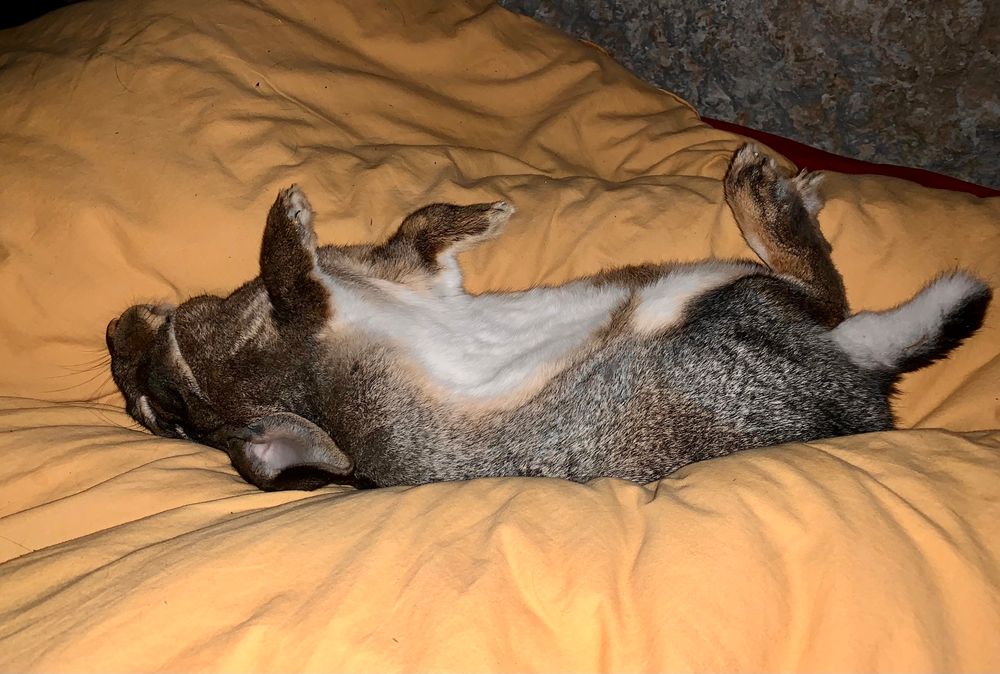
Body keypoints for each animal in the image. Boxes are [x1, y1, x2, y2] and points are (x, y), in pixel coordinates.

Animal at [106, 144, 992, 491]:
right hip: (714, 300)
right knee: (821, 288)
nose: (113, 335)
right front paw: (288, 218)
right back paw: (762, 187)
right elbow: (294, 283)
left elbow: (419, 230)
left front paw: (486, 214)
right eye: (156, 411)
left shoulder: (408, 273)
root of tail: (863, 377)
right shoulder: (308, 332)